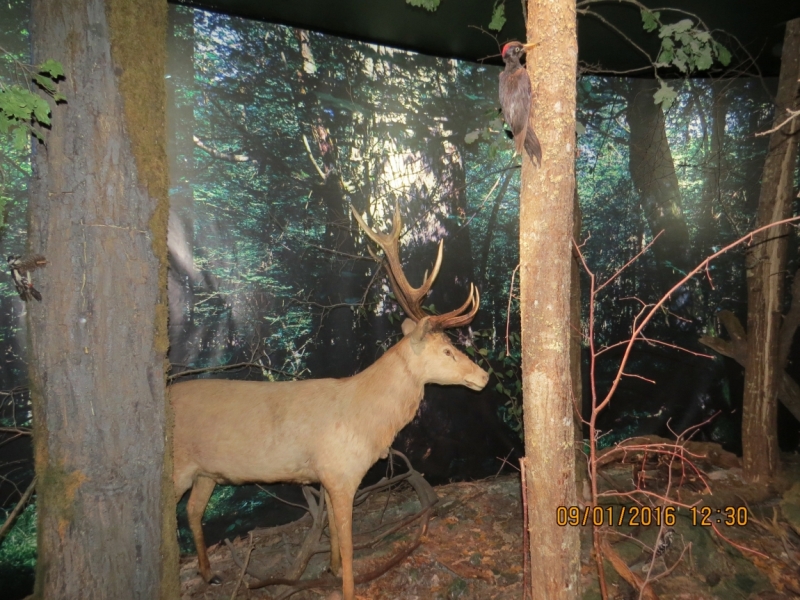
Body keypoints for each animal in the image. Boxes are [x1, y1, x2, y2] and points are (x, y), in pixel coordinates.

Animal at [170, 204, 488, 596]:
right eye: (446, 350)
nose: (484, 376)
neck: (364, 418)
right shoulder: (341, 472)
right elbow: (348, 542)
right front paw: (348, 587)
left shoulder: (326, 476)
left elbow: (334, 533)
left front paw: (330, 568)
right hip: (178, 467)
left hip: (206, 473)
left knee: (193, 510)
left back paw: (208, 572)